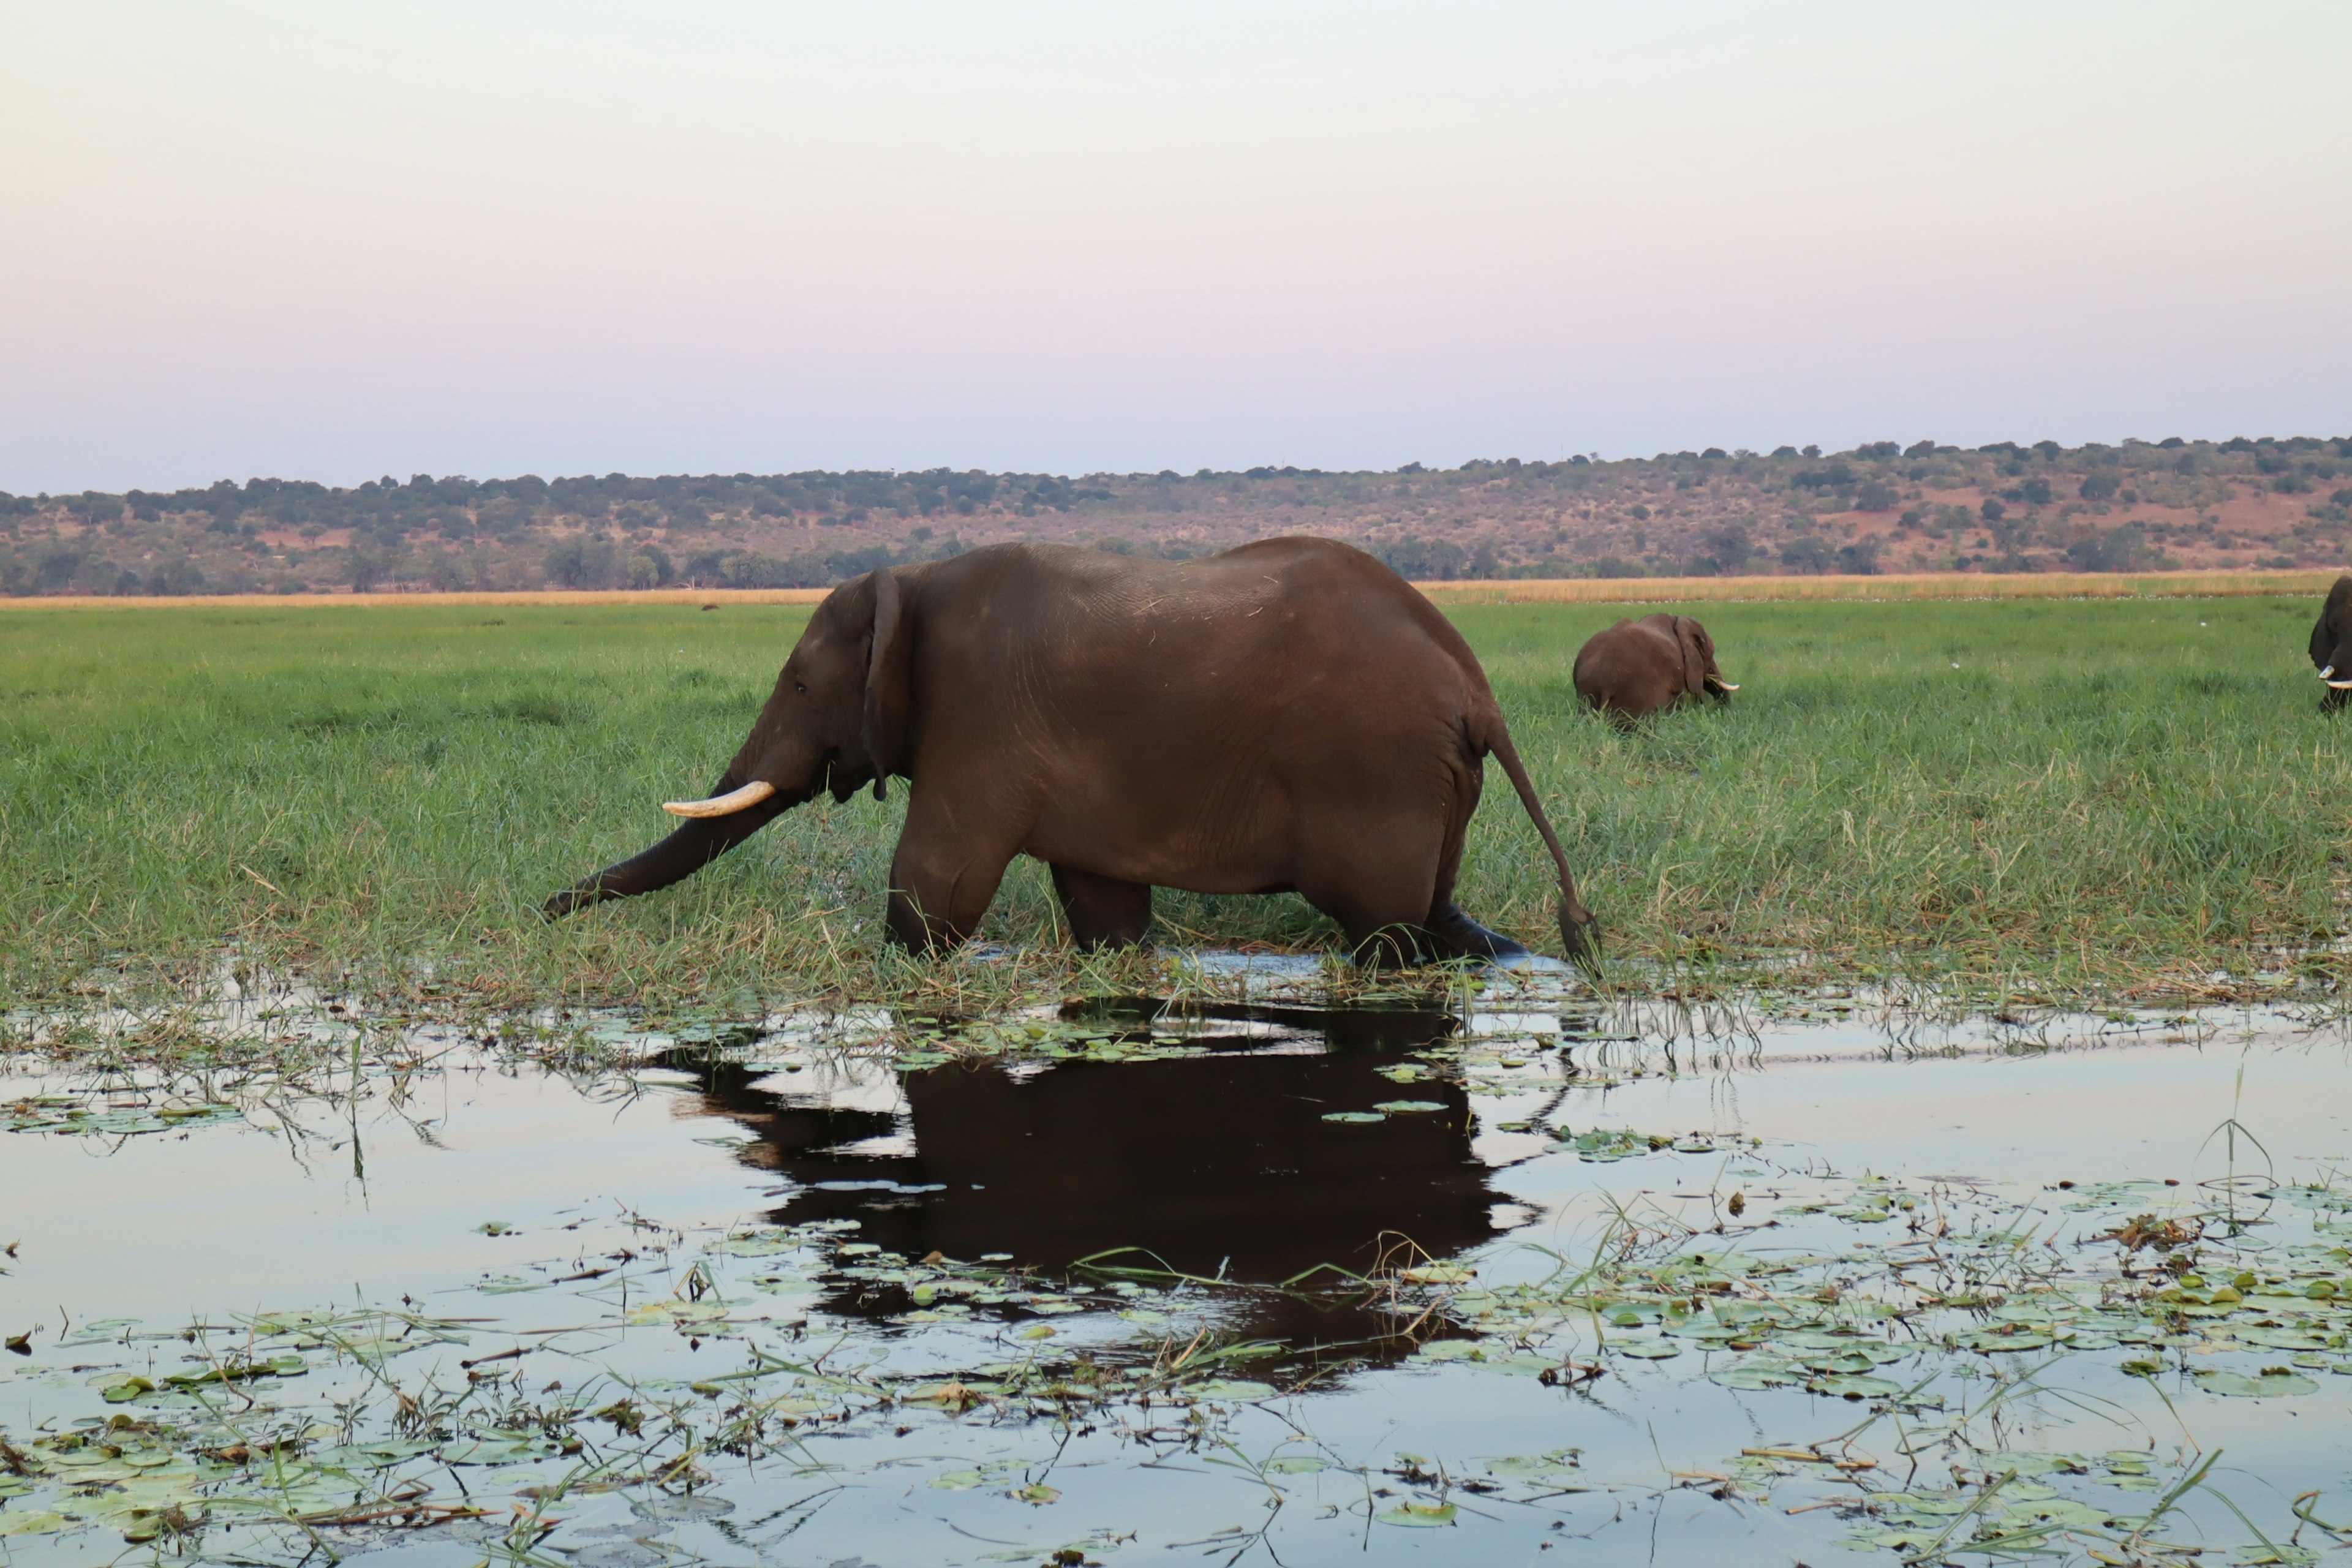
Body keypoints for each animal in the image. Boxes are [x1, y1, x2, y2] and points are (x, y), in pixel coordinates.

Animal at [541, 536, 1599, 968]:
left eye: (801, 688)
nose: (546, 909)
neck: (912, 582)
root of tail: (1477, 690)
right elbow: (1105, 912)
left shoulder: (977, 722)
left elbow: (935, 888)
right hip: (1430, 782)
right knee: (1436, 919)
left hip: (1374, 772)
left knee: (1385, 931)